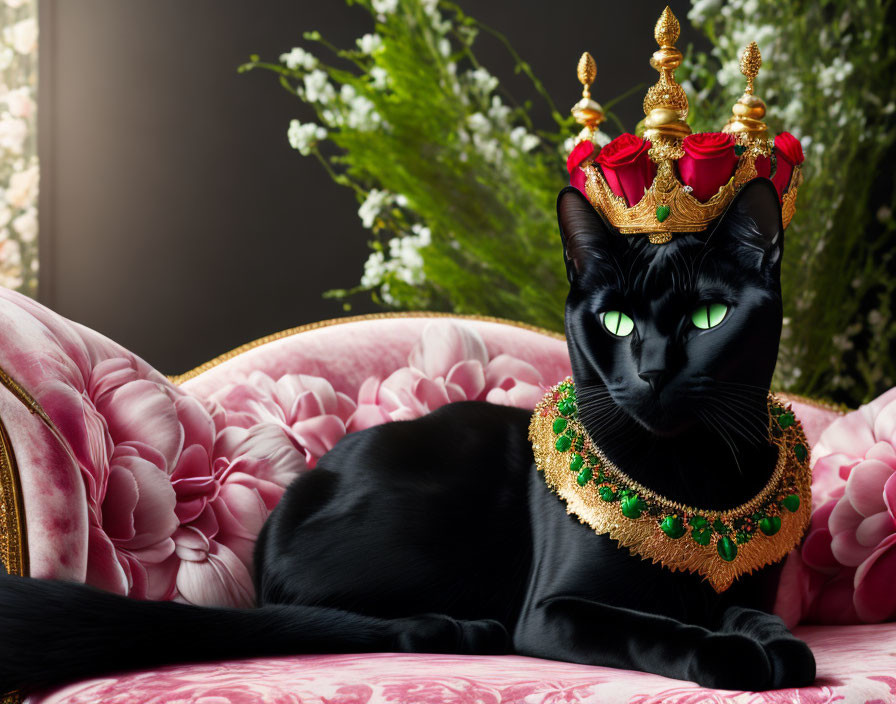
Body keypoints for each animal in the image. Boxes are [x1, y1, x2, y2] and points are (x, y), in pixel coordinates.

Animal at [0, 177, 812, 692]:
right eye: (614, 321)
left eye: (708, 317)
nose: (651, 372)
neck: (689, 472)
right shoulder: (556, 611)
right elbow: (653, 626)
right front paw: (730, 656)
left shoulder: (751, 587)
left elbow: (751, 611)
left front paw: (778, 647)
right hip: (434, 527)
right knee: (326, 618)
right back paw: (457, 630)